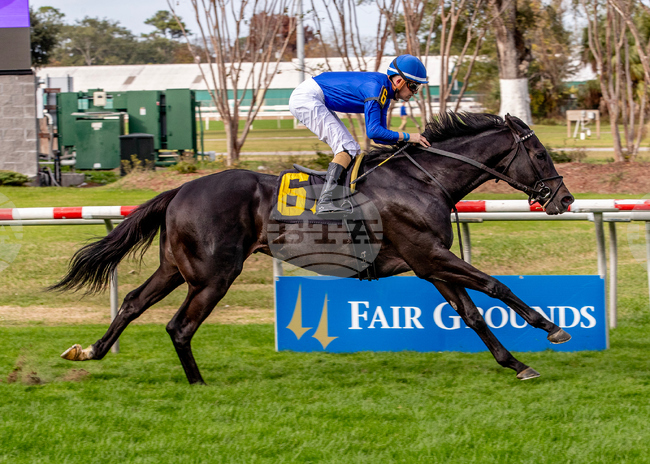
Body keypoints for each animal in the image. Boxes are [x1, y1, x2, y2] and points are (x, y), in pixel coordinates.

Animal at [52, 113, 574, 385]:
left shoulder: (430, 265)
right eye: (540, 153)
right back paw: (197, 384)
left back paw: (90, 351)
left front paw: (516, 363)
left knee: (133, 303)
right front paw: (551, 328)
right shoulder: (429, 255)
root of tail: (180, 189)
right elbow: (495, 285)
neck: (422, 181)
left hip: (177, 268)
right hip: (214, 275)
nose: (565, 199)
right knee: (179, 326)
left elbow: (471, 313)